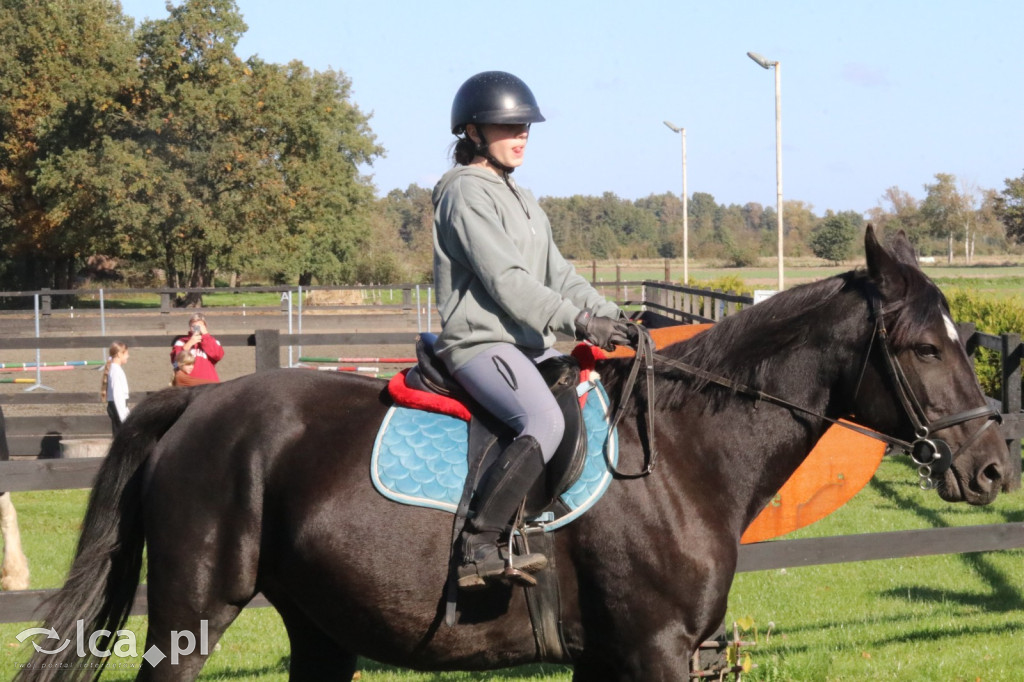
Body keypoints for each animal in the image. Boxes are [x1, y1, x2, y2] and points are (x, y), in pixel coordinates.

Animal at [19, 229, 1011, 679]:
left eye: (965, 338)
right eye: (924, 349)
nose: (993, 466)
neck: (684, 454)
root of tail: (193, 405)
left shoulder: (610, 656)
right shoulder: (655, 649)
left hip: (321, 629)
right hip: (193, 615)